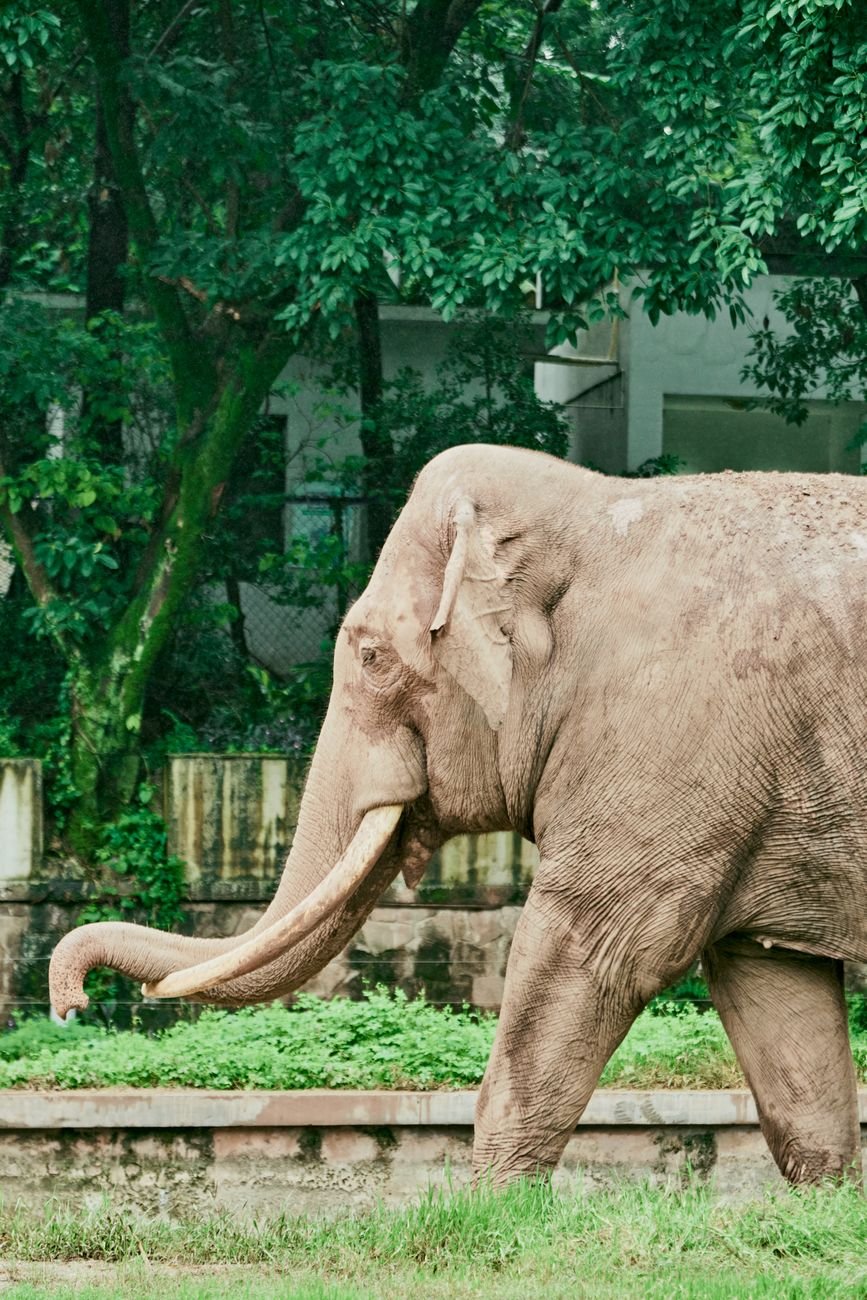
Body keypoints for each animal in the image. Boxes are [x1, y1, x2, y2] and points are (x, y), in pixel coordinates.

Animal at [50, 442, 867, 1187]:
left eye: (372, 656)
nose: (71, 1003)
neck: (592, 509)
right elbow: (771, 986)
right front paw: (822, 1202)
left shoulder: (669, 729)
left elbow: (592, 948)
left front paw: (492, 1211)